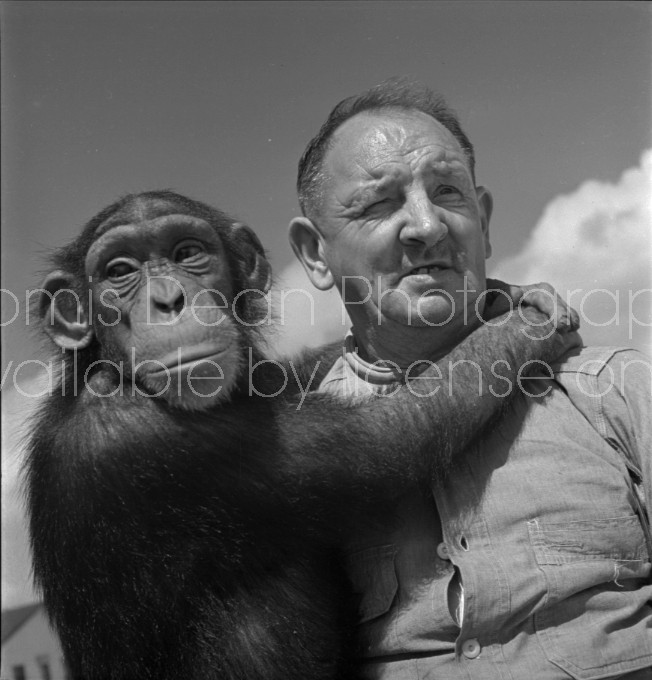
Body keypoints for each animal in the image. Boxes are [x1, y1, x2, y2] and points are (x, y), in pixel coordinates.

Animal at [25, 190, 576, 680]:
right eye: (119, 272)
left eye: (187, 253)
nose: (169, 300)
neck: (112, 372)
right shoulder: (137, 439)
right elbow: (388, 437)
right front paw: (527, 322)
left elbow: (298, 375)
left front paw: (509, 294)